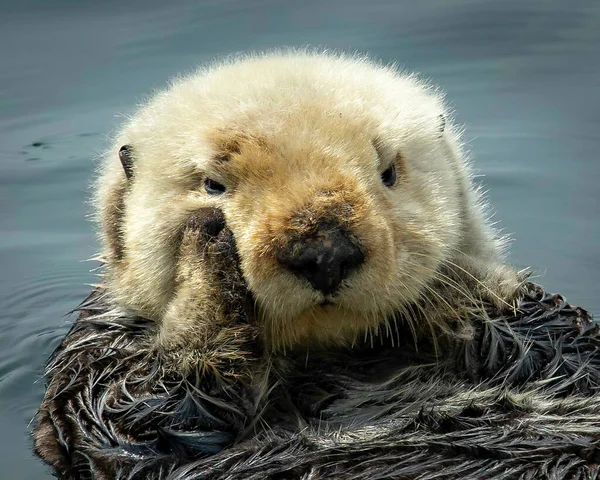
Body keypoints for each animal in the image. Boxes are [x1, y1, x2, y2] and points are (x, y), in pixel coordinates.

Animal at [32, 50, 600, 478]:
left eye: (388, 172)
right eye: (213, 185)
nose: (326, 252)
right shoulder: (96, 373)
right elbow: (152, 416)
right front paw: (204, 249)